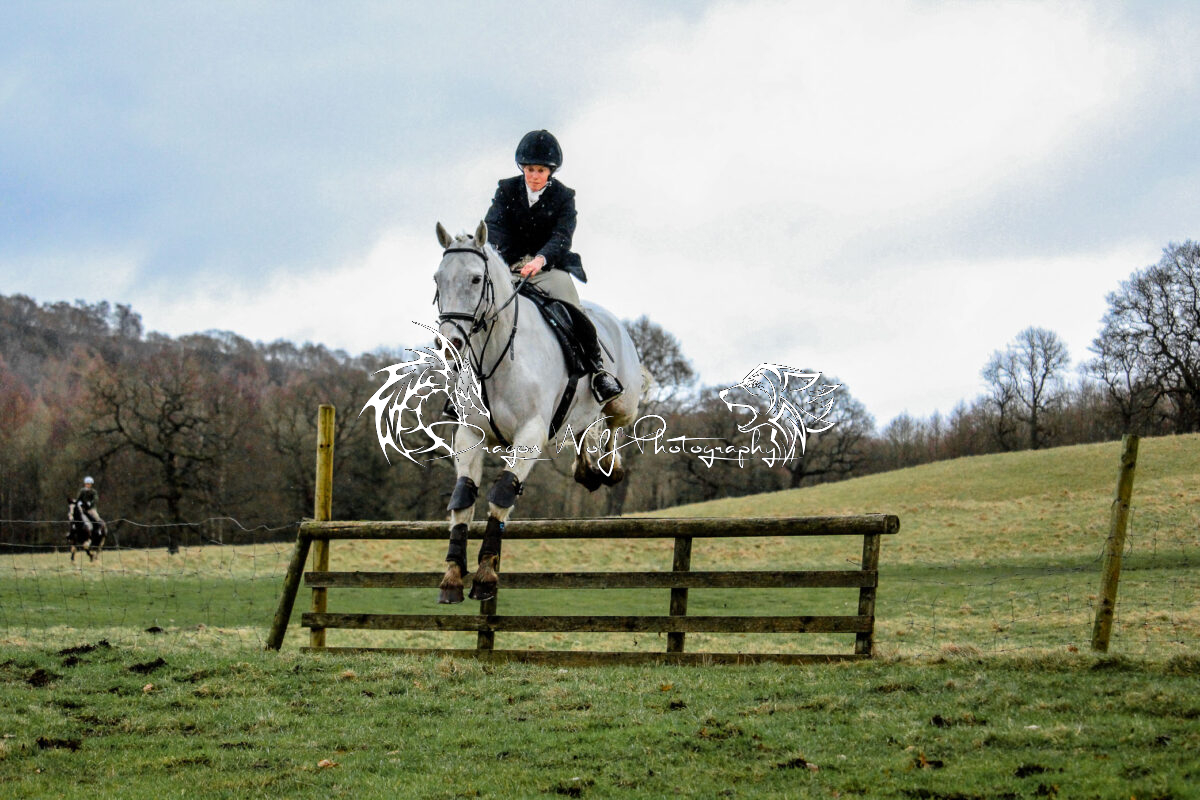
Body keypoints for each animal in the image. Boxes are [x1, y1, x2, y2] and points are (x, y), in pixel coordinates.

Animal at [433, 221, 645, 603]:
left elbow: (502, 494)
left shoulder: (530, 434)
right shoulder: (469, 435)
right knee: (586, 426)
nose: (448, 344)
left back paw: (609, 466)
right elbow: (462, 498)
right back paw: (587, 469)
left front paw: (485, 576)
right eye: (437, 279)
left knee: (612, 423)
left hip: (624, 401)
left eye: (475, 279)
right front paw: (452, 578)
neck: (495, 357)